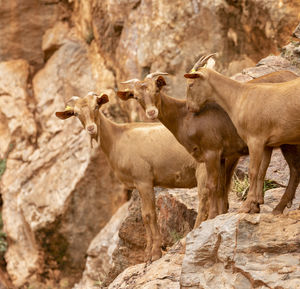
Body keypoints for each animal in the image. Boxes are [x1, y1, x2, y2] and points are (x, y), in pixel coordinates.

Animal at [55, 91, 206, 260]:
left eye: (96, 106)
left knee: (204, 200)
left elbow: (150, 215)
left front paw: (155, 253)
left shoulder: (144, 180)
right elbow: (144, 216)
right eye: (76, 113)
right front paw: (147, 255)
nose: (91, 128)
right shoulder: (138, 184)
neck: (117, 138)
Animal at [117, 69, 300, 218]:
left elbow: (213, 185)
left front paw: (214, 215)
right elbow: (221, 186)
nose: (152, 112)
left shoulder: (214, 151)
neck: (184, 117)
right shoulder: (224, 155)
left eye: (156, 89)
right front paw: (225, 211)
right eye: (136, 97)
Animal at [185, 53, 300, 212]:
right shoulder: (266, 143)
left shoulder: (255, 140)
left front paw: (247, 205)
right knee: (295, 169)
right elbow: (261, 170)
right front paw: (256, 204)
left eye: (191, 84)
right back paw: (280, 207)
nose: (189, 107)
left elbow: (253, 171)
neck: (239, 96)